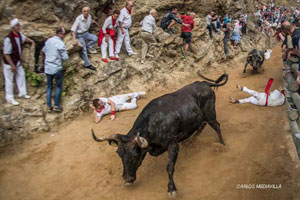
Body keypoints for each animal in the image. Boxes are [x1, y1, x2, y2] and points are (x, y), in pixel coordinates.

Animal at [91, 73, 227, 197]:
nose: (127, 179)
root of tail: (204, 83)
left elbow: (169, 167)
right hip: (201, 117)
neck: (153, 124)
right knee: (202, 125)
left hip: (210, 114)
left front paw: (171, 189)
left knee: (216, 126)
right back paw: (192, 139)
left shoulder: (173, 145)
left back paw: (222, 144)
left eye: (135, 156)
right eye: (119, 155)